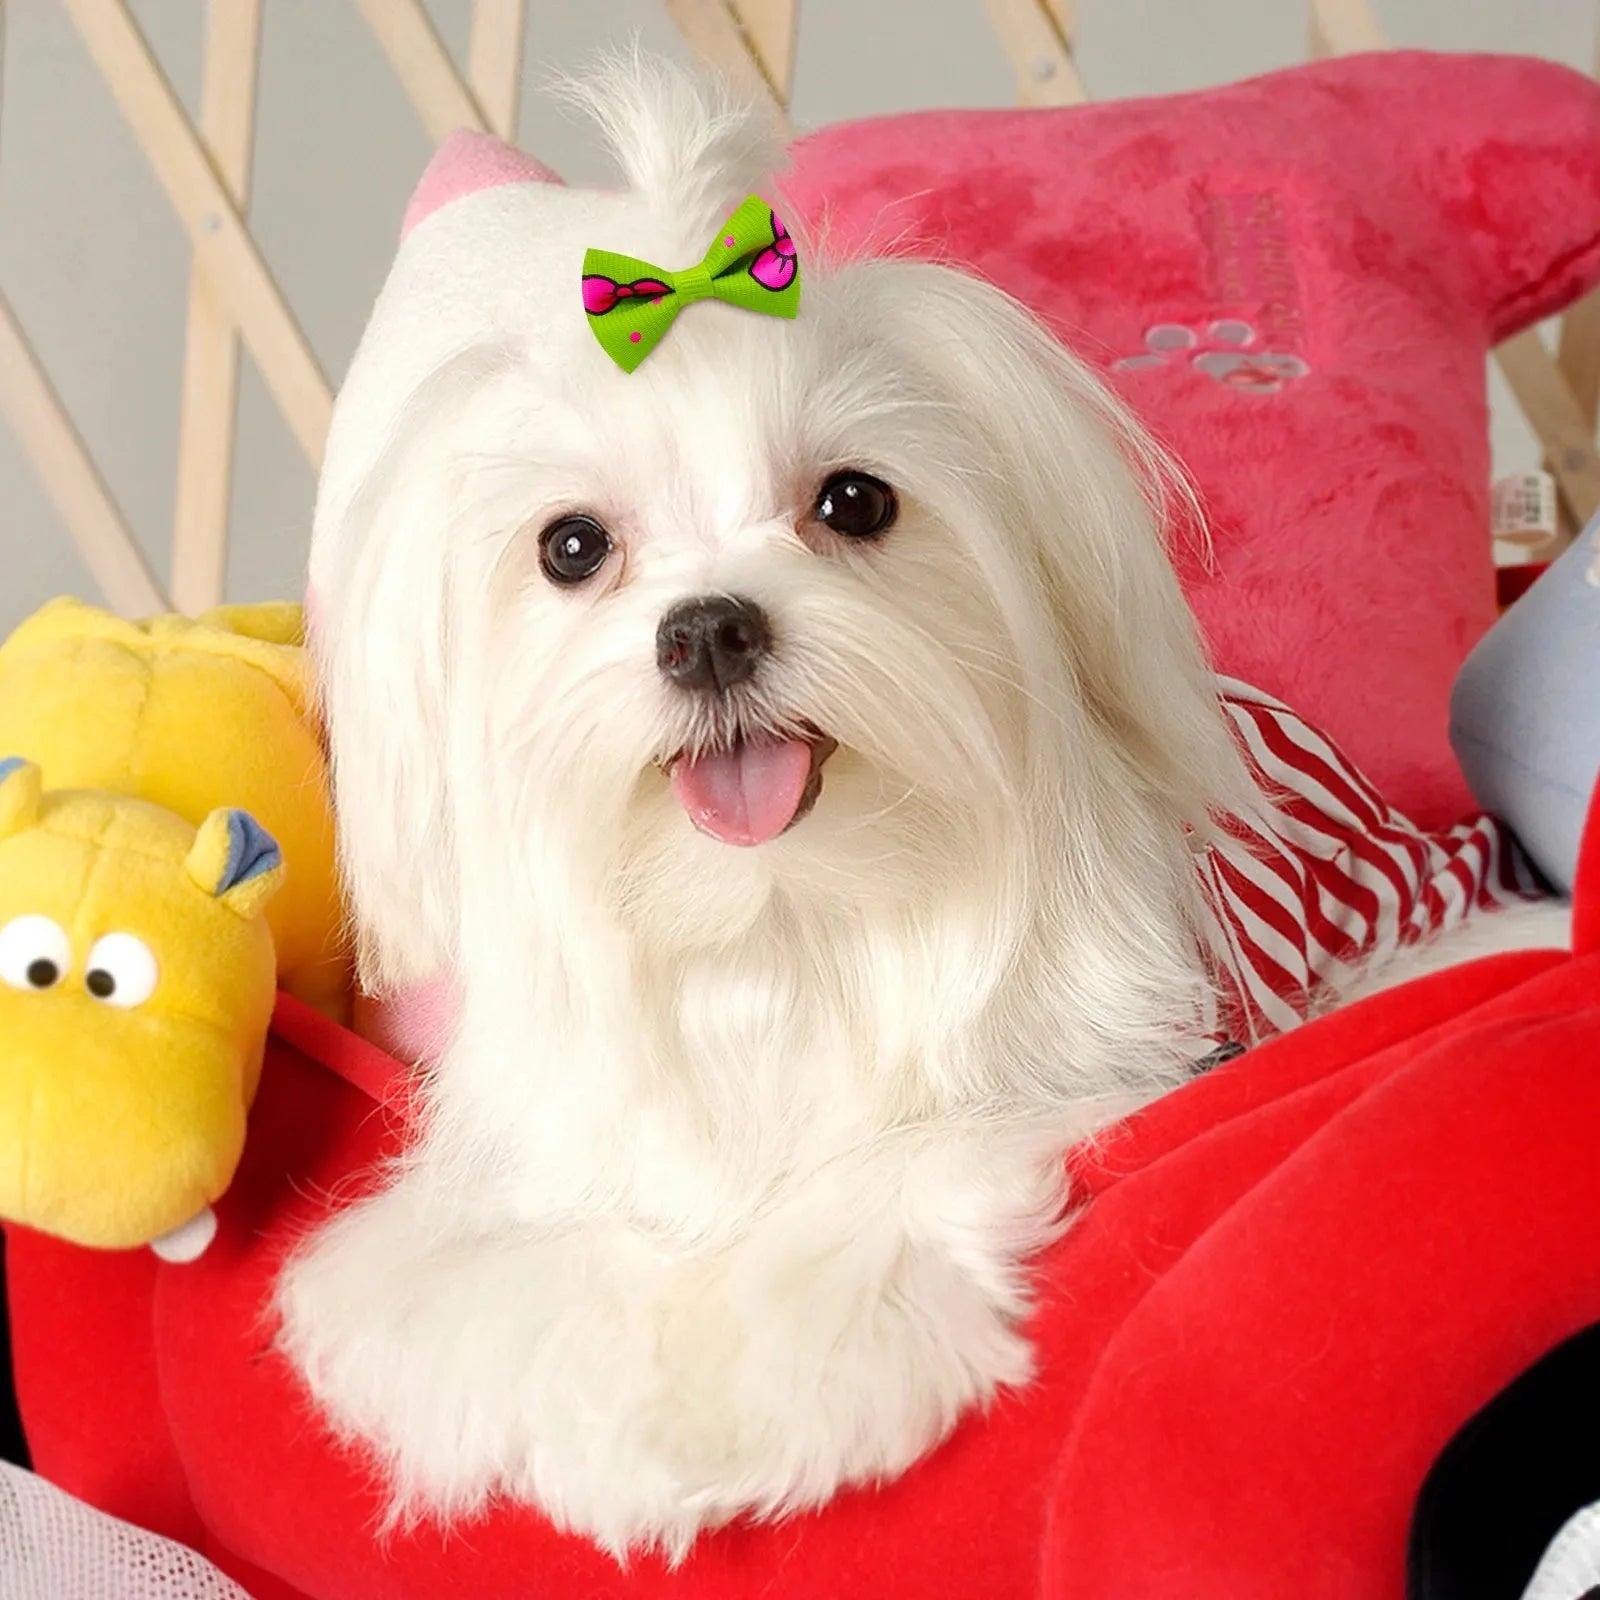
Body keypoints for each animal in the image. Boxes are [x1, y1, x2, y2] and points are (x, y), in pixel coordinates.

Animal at [275, 59, 1561, 1561]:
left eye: (854, 501)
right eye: (572, 546)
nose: (709, 630)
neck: (780, 926)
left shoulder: (1079, 1078)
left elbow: (888, 1179)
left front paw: (742, 1408)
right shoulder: (517, 1185)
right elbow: (496, 1281)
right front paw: (616, 1426)